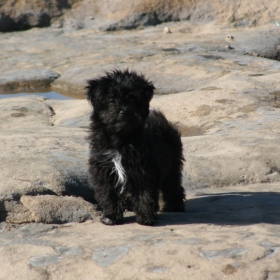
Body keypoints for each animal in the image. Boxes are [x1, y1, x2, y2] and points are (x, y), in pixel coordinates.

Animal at [86, 70, 185, 225]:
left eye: (133, 100)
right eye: (112, 100)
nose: (123, 111)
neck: (121, 139)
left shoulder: (143, 169)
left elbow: (144, 193)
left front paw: (146, 218)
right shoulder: (104, 169)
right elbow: (108, 194)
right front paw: (110, 217)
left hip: (172, 165)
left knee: (173, 186)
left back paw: (174, 206)